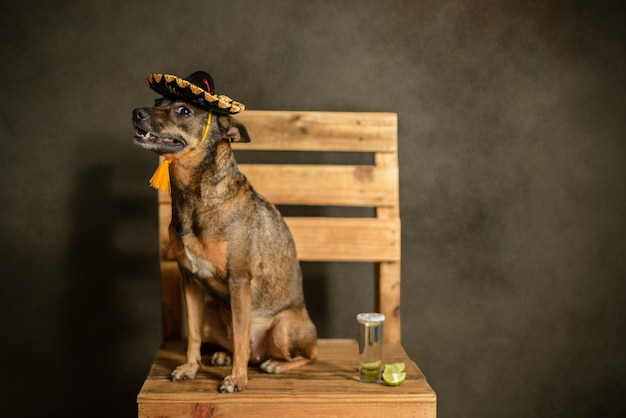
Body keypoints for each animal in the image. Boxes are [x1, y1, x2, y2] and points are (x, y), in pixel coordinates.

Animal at [132, 71, 316, 392]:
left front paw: (237, 379)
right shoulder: (190, 281)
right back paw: (222, 356)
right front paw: (190, 368)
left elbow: (242, 336)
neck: (195, 196)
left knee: (305, 356)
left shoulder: (238, 281)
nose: (136, 112)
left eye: (184, 111)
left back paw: (275, 365)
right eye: (157, 102)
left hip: (284, 326)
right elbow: (193, 335)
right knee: (234, 344)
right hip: (210, 310)